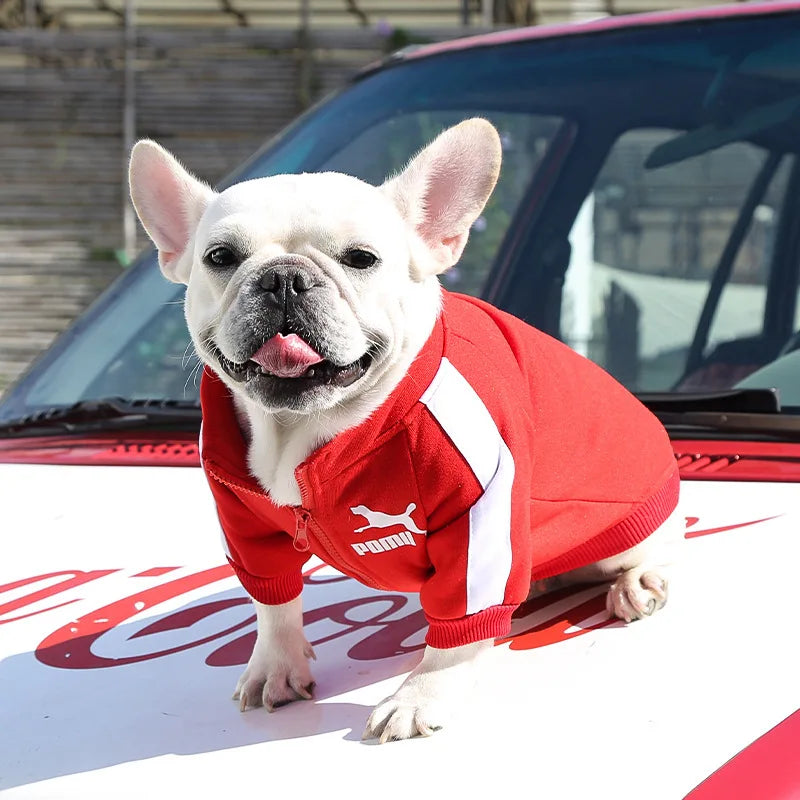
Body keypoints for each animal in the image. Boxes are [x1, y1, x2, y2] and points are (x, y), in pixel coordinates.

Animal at [130, 119, 680, 744]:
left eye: (361, 258)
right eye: (220, 257)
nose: (284, 279)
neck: (307, 428)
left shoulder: (478, 504)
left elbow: (458, 626)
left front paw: (420, 696)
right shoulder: (243, 520)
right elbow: (273, 601)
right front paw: (275, 665)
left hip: (633, 526)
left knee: (658, 548)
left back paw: (637, 583)